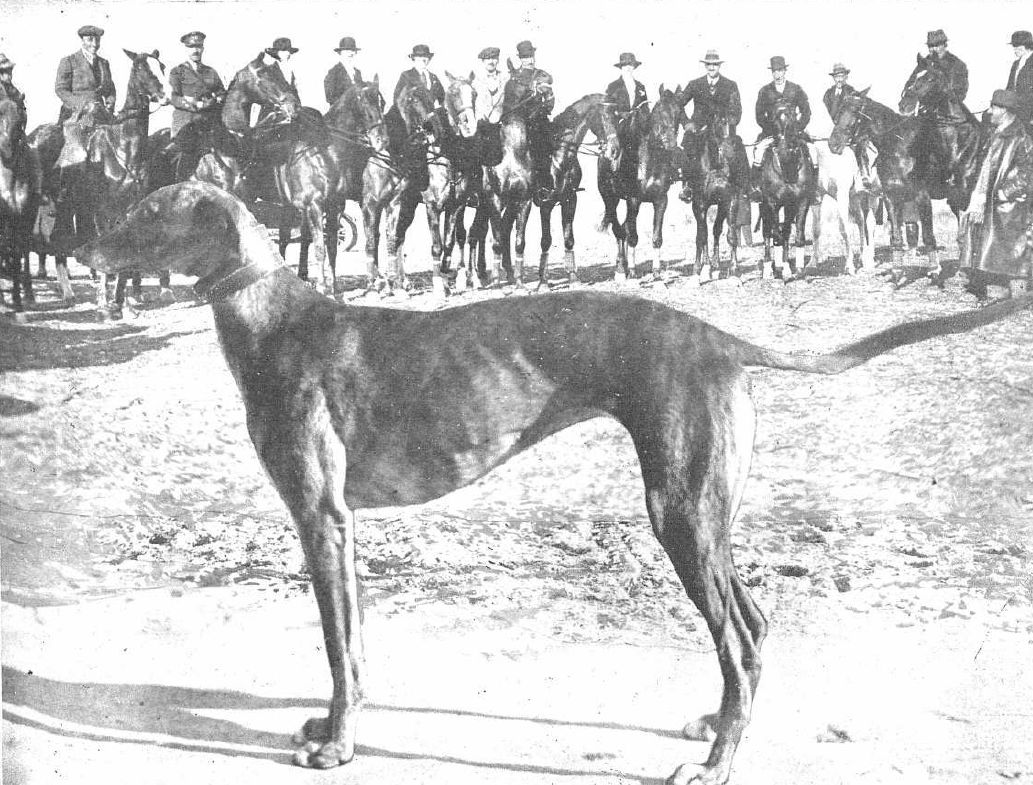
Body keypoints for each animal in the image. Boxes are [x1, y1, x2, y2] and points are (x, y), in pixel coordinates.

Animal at [78, 180, 1033, 785]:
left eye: (147, 210)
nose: (82, 245)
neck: (274, 319)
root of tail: (717, 339)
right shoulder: (336, 524)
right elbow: (350, 644)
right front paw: (331, 730)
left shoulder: (323, 517)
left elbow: (340, 648)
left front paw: (339, 744)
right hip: (704, 519)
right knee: (754, 627)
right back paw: (715, 725)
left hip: (679, 514)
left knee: (738, 637)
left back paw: (715, 764)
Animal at [599, 85, 685, 280]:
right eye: (659, 112)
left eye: (679, 113)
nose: (673, 149)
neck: (648, 161)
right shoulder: (633, 200)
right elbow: (632, 236)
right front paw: (631, 271)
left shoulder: (661, 201)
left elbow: (657, 238)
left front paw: (657, 272)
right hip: (610, 199)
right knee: (619, 230)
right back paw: (621, 268)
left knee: (623, 228)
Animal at [677, 109, 752, 283]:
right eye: (683, 145)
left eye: (696, 144)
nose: (687, 176)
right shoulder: (699, 204)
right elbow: (701, 236)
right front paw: (700, 269)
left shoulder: (730, 200)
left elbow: (730, 235)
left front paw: (734, 270)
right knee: (703, 232)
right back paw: (705, 265)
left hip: (721, 205)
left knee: (716, 229)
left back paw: (716, 263)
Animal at [756, 96, 818, 278]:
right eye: (774, 117)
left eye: (793, 116)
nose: (785, 151)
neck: (787, 167)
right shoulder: (772, 203)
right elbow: (775, 235)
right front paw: (778, 269)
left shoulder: (801, 201)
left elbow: (796, 235)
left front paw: (797, 269)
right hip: (764, 206)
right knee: (767, 233)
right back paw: (769, 269)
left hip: (789, 207)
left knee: (786, 232)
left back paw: (786, 266)